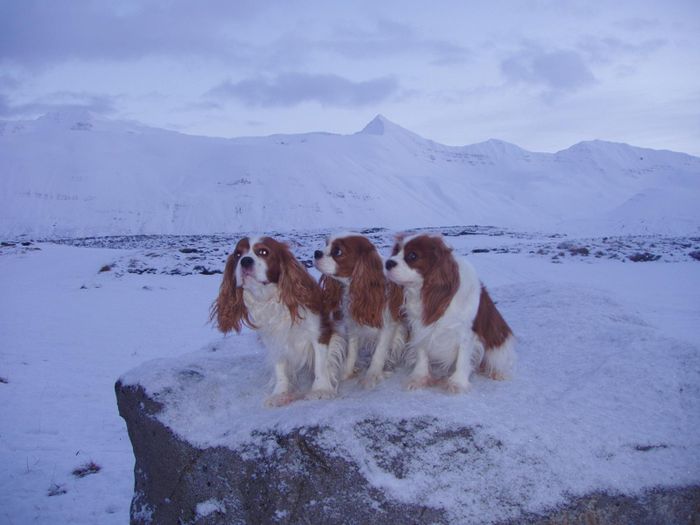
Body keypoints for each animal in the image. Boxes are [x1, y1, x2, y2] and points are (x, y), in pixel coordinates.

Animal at [316, 233, 408, 388]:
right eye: (326, 244)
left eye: (337, 251)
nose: (316, 253)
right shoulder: (353, 324)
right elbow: (352, 352)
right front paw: (347, 372)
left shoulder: (389, 326)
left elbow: (379, 352)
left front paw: (371, 376)